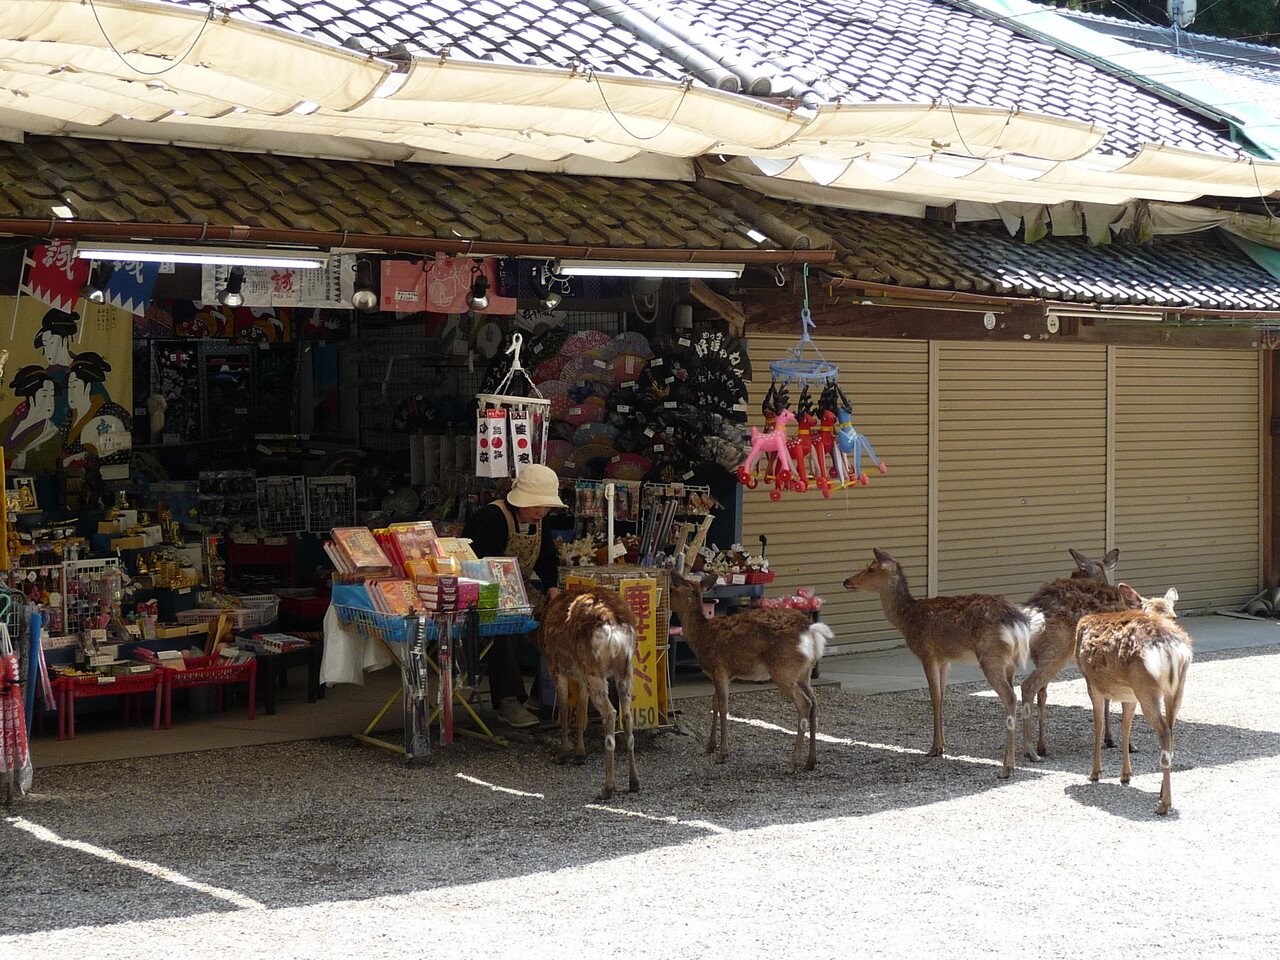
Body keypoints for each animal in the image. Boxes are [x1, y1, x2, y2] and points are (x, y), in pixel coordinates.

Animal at [536, 586, 639, 801]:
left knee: (610, 713)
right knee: (627, 716)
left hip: (593, 667)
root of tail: (613, 623)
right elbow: (582, 707)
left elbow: (564, 707)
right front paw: (580, 754)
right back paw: (634, 782)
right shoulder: (581, 677)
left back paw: (607, 787)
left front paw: (562, 754)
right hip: (625, 670)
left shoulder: (555, 667)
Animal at [668, 572, 833, 772]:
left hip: (783, 669)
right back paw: (810, 761)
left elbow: (723, 707)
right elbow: (714, 704)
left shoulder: (720, 669)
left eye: (671, 590)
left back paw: (792, 764)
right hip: (804, 672)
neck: (699, 635)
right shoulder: (718, 674)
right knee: (814, 703)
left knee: (804, 703)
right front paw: (709, 747)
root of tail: (811, 630)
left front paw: (722, 754)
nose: (664, 602)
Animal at [843, 548, 1043, 778]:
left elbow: (934, 696)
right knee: (1021, 691)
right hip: (1010, 662)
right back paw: (1029, 753)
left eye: (871, 569)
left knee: (1010, 697)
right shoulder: (945, 659)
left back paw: (1006, 767)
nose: (846, 581)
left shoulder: (927, 653)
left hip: (990, 657)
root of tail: (1016, 623)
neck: (907, 619)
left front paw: (934, 748)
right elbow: (942, 697)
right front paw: (942, 746)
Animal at [1019, 548, 1142, 761]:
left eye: (1076, 572)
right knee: (1028, 686)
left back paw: (1041, 746)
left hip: (1042, 654)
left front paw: (1109, 739)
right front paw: (1129, 744)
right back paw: (1030, 752)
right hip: (1057, 650)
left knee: (1041, 691)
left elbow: (1104, 696)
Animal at [1075, 586, 1193, 815]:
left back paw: (1164, 804)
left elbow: (1098, 724)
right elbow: (1126, 726)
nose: (1172, 621)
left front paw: (1095, 772)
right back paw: (1161, 793)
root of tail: (1169, 646)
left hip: (1145, 685)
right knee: (1171, 730)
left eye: (1173, 615)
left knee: (1164, 731)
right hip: (1176, 688)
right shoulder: (1129, 695)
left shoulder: (1092, 683)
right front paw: (1125, 775)